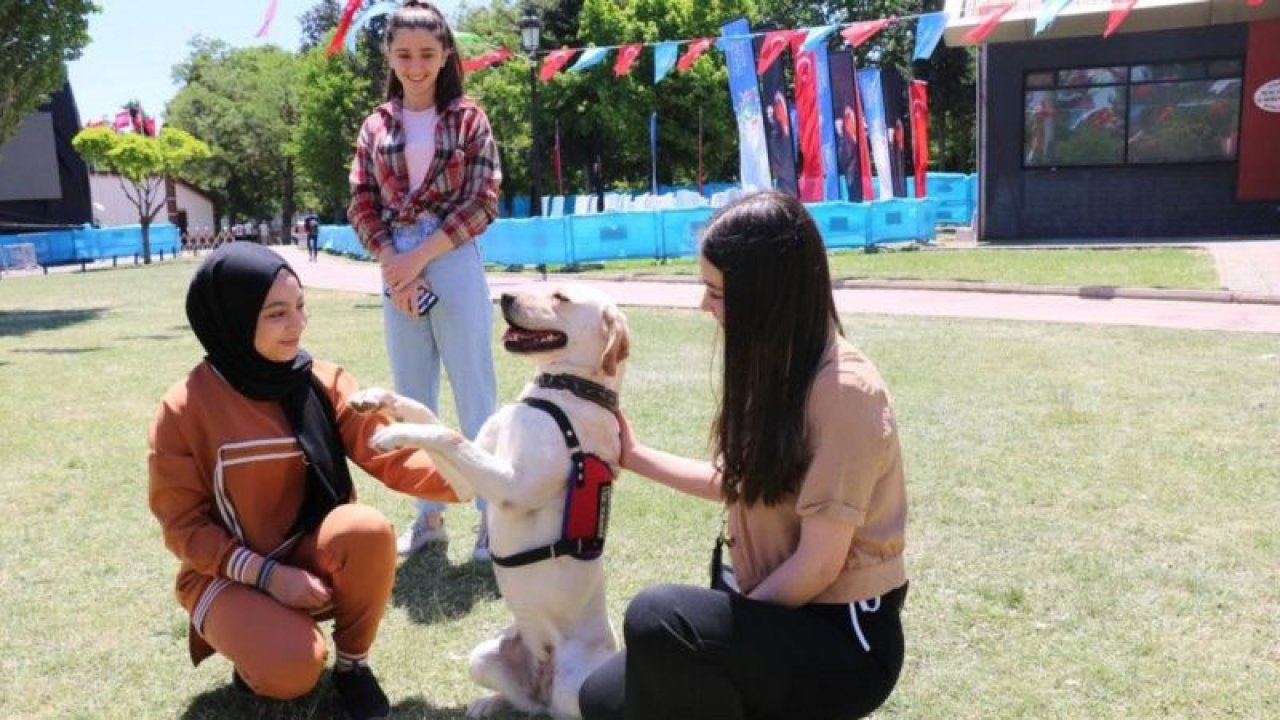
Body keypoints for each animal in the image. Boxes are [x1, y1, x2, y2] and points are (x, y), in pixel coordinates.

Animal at [350, 283, 629, 712]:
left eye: (561, 297)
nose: (508, 296)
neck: (559, 391)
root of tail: (544, 665)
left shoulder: (513, 486)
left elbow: (448, 434)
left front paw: (391, 434)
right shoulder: (467, 481)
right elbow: (426, 412)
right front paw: (375, 398)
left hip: (573, 684)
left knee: (555, 710)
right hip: (482, 656)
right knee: (529, 704)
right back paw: (488, 704)